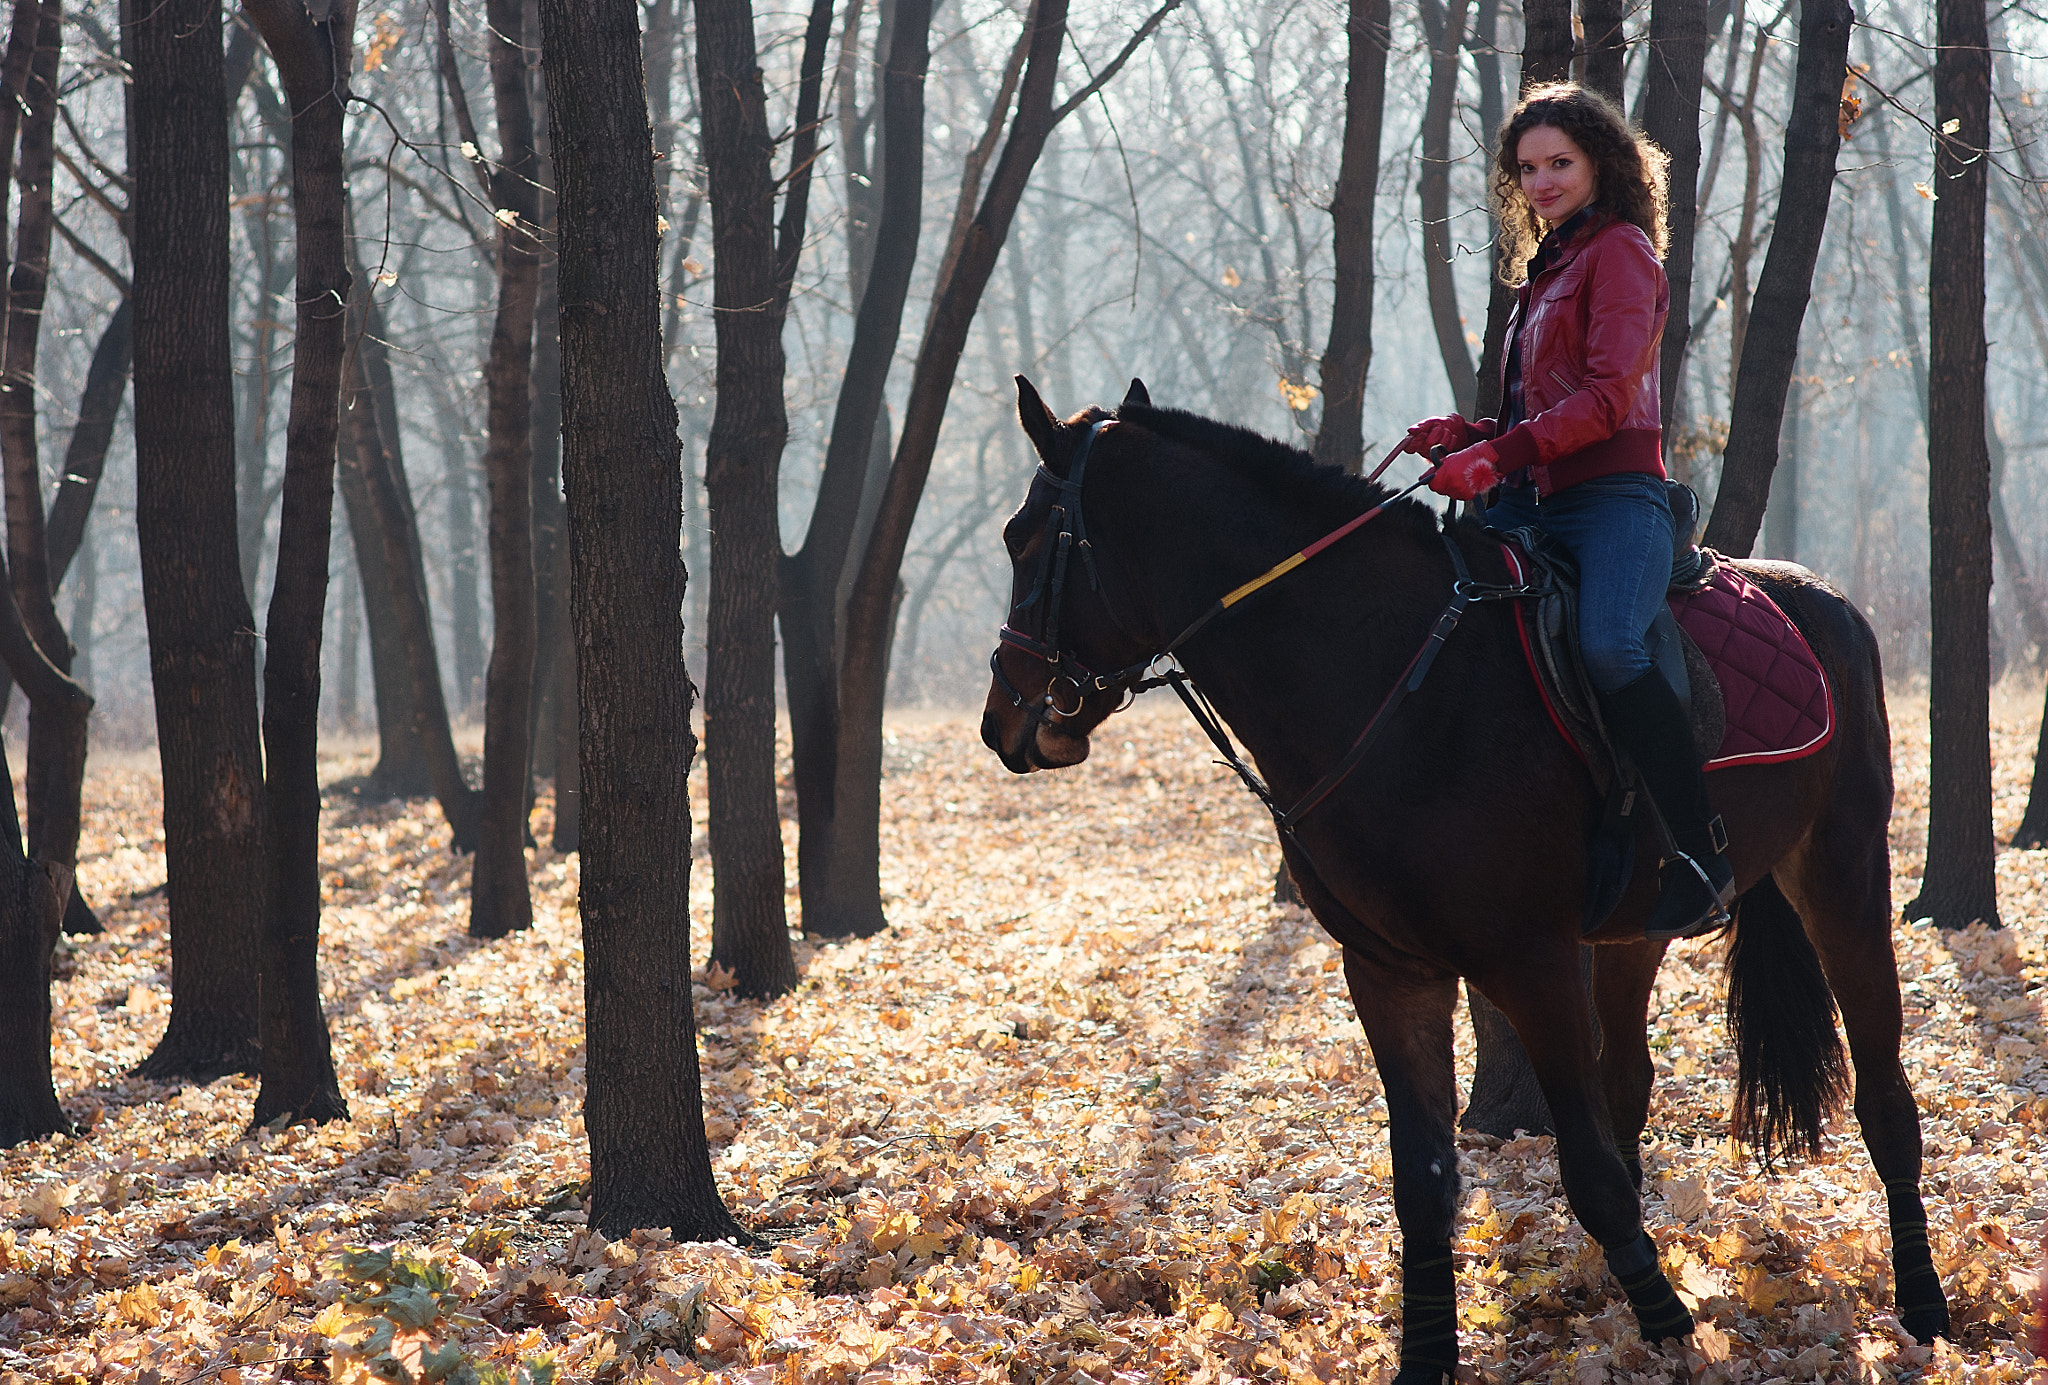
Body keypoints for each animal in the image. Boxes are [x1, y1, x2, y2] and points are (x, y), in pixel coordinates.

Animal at [983, 376, 1941, 1376]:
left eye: (1022, 535)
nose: (1003, 719)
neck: (1385, 675)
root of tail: (1826, 599)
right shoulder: (1390, 971)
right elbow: (1426, 1177)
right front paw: (1436, 1352)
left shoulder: (1532, 962)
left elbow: (1587, 1172)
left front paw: (1670, 1328)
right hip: (1635, 932)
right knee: (1631, 1084)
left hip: (1842, 873)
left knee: (1883, 1091)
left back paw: (1922, 1301)